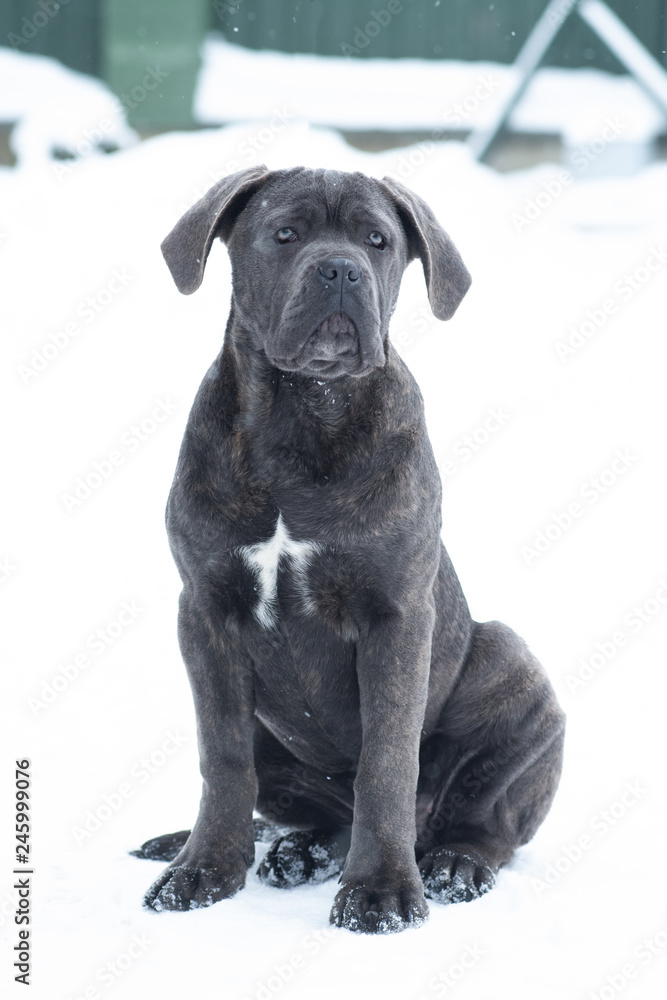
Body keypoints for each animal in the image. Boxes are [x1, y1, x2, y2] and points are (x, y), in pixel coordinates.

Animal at [134, 164, 564, 928]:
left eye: (377, 240)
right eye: (285, 233)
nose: (340, 270)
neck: (303, 413)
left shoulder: (395, 616)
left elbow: (386, 761)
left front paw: (382, 893)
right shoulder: (206, 613)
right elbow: (222, 759)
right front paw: (203, 871)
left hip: (509, 663)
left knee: (479, 821)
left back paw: (450, 864)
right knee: (308, 806)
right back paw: (297, 851)